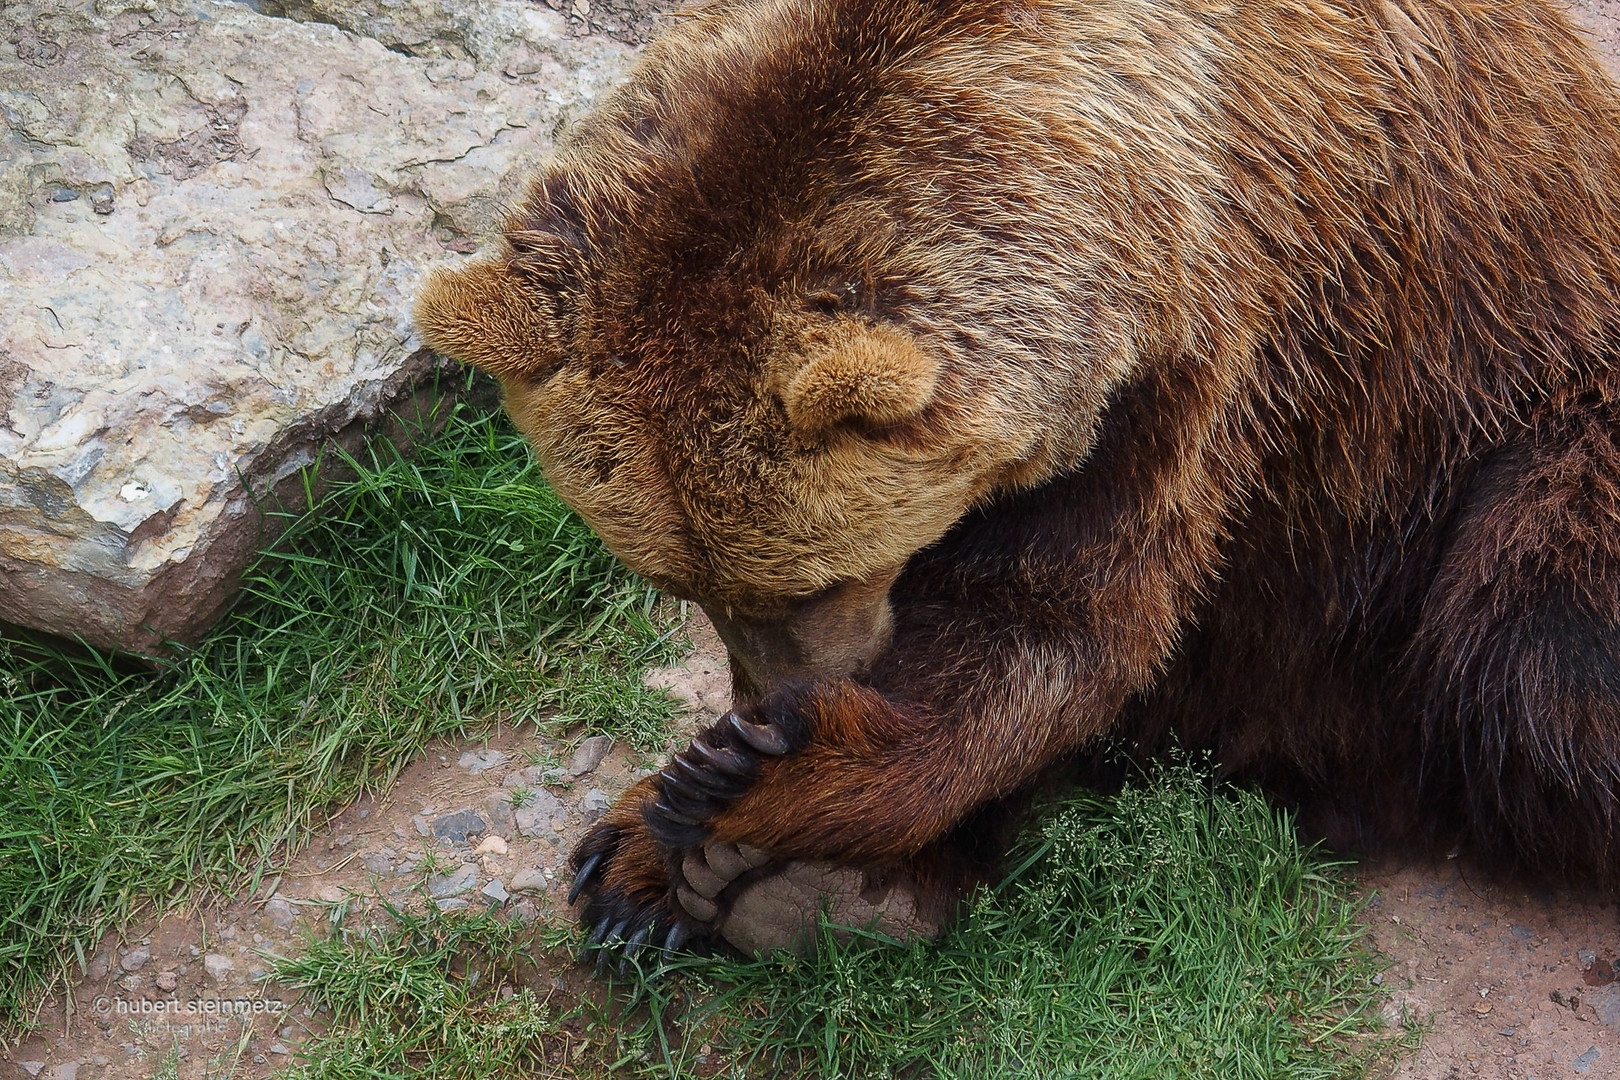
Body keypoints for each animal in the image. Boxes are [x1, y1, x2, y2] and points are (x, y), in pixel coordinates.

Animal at [414, 0, 1620, 965]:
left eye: (816, 580)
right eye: (686, 586)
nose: (775, 695)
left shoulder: (1211, 350)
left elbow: (1057, 627)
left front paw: (749, 778)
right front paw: (666, 837)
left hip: (1518, 421)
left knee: (1530, 652)